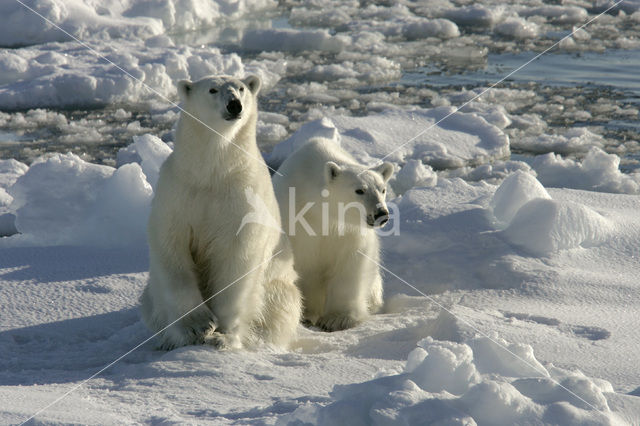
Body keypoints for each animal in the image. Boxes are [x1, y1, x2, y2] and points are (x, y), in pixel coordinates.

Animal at [140, 75, 300, 350]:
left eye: (242, 88)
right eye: (212, 89)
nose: (234, 105)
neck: (213, 173)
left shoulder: (242, 199)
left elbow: (236, 261)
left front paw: (222, 336)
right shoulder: (178, 193)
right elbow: (173, 252)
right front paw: (196, 326)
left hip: (279, 286)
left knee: (281, 309)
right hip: (152, 295)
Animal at [272, 138, 392, 332]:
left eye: (382, 189)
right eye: (360, 190)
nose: (381, 213)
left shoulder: (349, 231)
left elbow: (350, 265)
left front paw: (338, 319)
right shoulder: (294, 220)